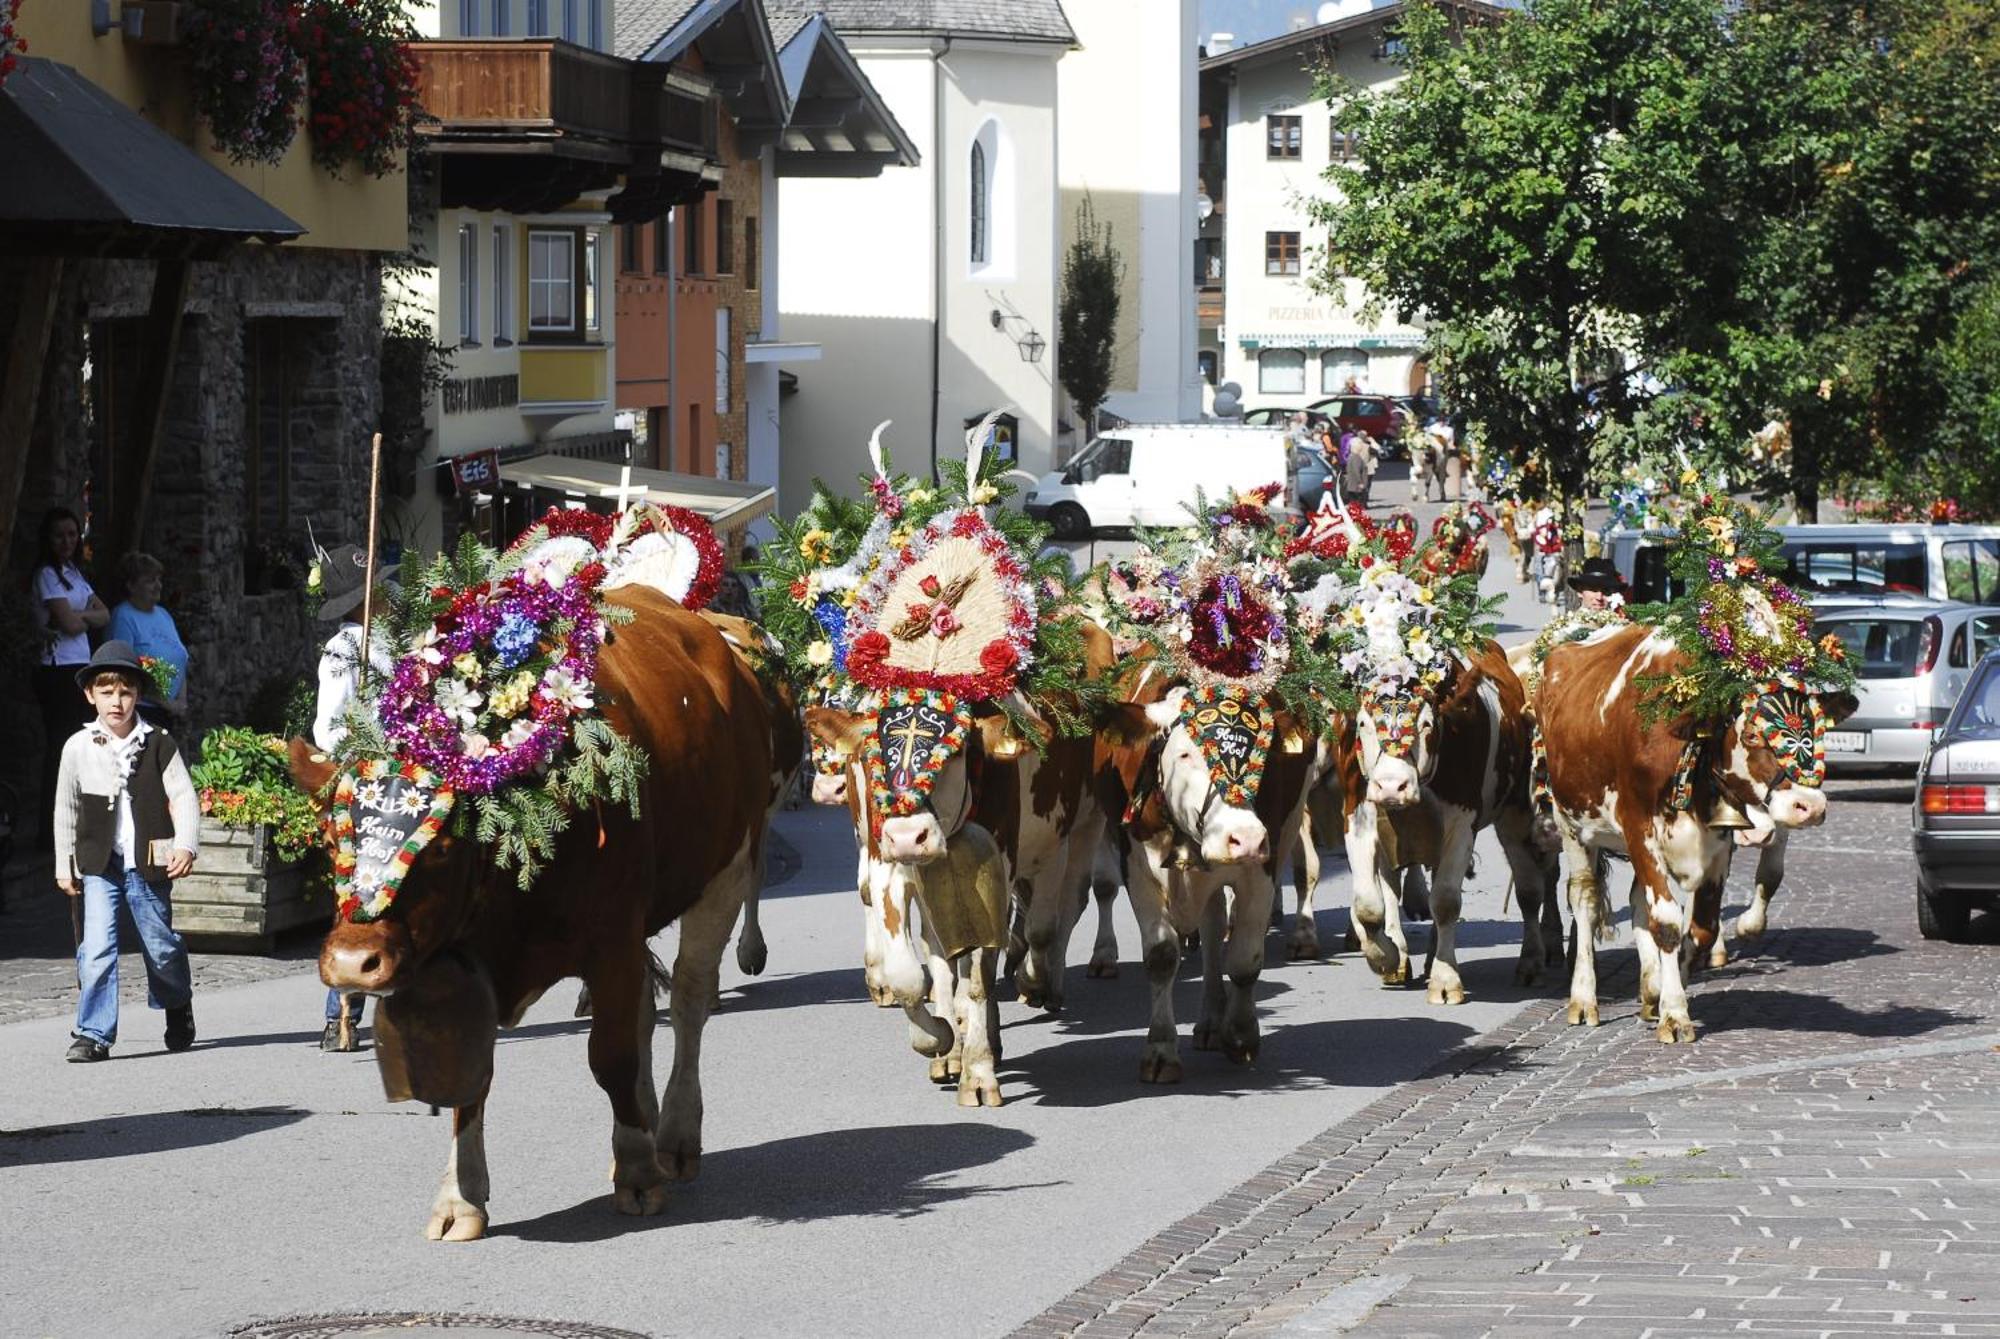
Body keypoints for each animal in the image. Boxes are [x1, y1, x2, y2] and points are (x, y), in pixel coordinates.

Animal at [296, 509, 772, 1247]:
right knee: (650, 1008)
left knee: (691, 1001)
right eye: (329, 837)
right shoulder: (475, 958)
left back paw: (671, 1137)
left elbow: (611, 1053)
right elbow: (472, 1075)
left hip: (726, 866)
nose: (352, 962)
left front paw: (639, 1173)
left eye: (441, 846)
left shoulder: (610, 935)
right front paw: (460, 1198)